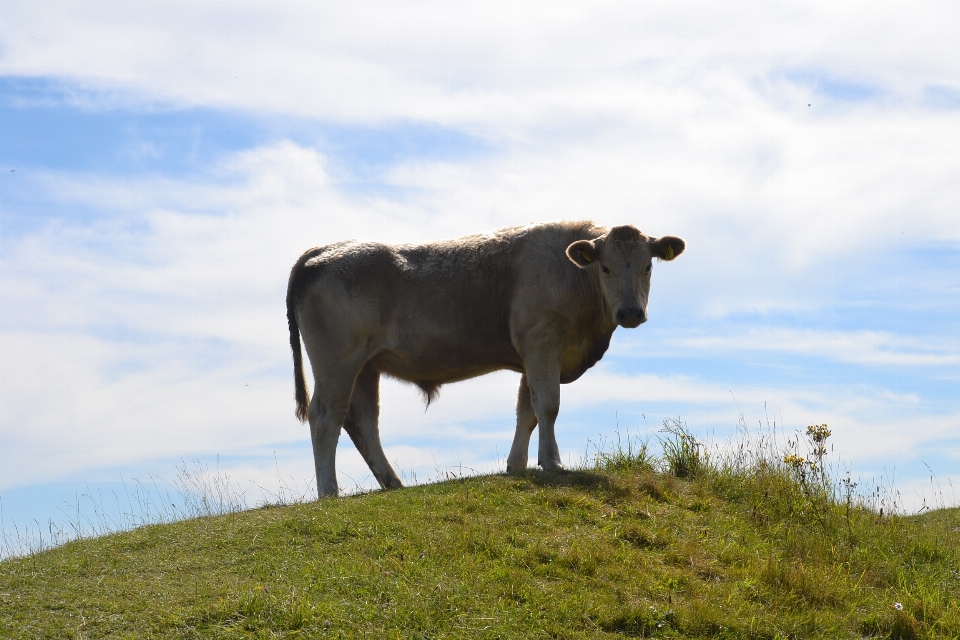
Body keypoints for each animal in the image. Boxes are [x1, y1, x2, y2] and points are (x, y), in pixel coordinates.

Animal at [284, 220, 684, 496]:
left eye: (648, 266)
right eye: (605, 268)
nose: (630, 312)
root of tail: (322, 251)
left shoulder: (533, 354)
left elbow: (527, 411)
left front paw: (517, 465)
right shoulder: (542, 341)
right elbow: (548, 405)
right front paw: (551, 462)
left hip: (367, 366)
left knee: (364, 421)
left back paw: (392, 482)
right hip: (337, 361)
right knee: (327, 417)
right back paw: (329, 493)